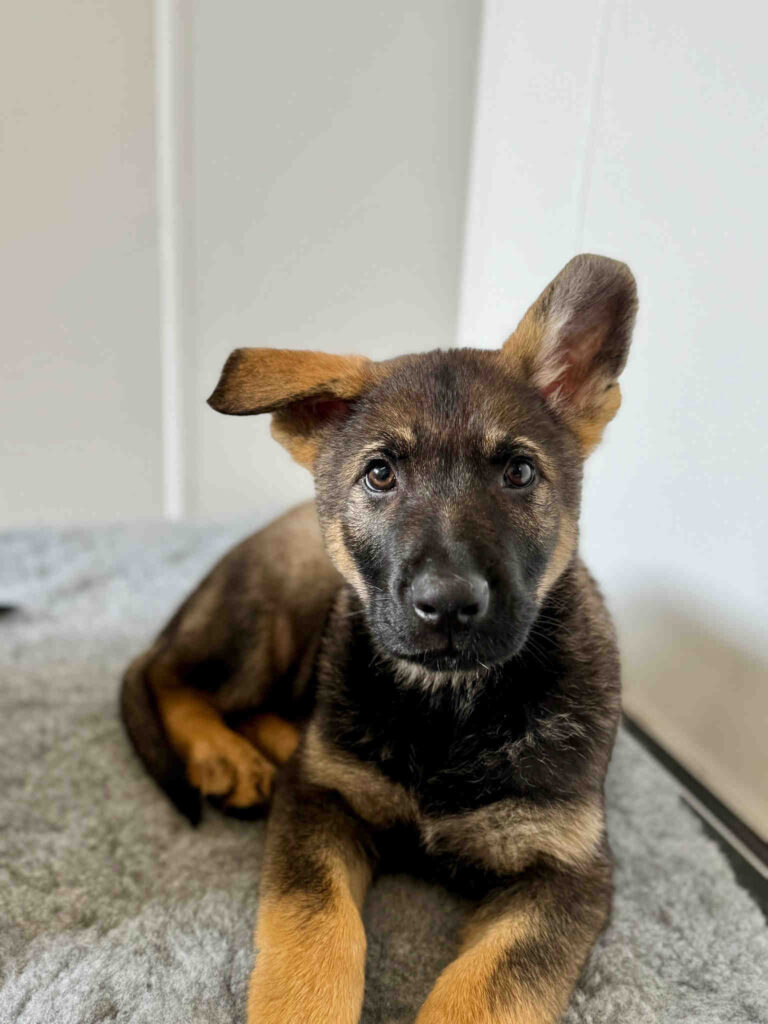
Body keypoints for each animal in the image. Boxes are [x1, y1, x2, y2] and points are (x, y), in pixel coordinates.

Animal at [121, 251, 638, 1019]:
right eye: (380, 474)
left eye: (519, 472)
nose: (447, 605)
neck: (448, 708)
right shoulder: (317, 803)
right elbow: (315, 933)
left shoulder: (565, 869)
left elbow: (491, 986)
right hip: (267, 616)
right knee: (174, 678)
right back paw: (224, 754)